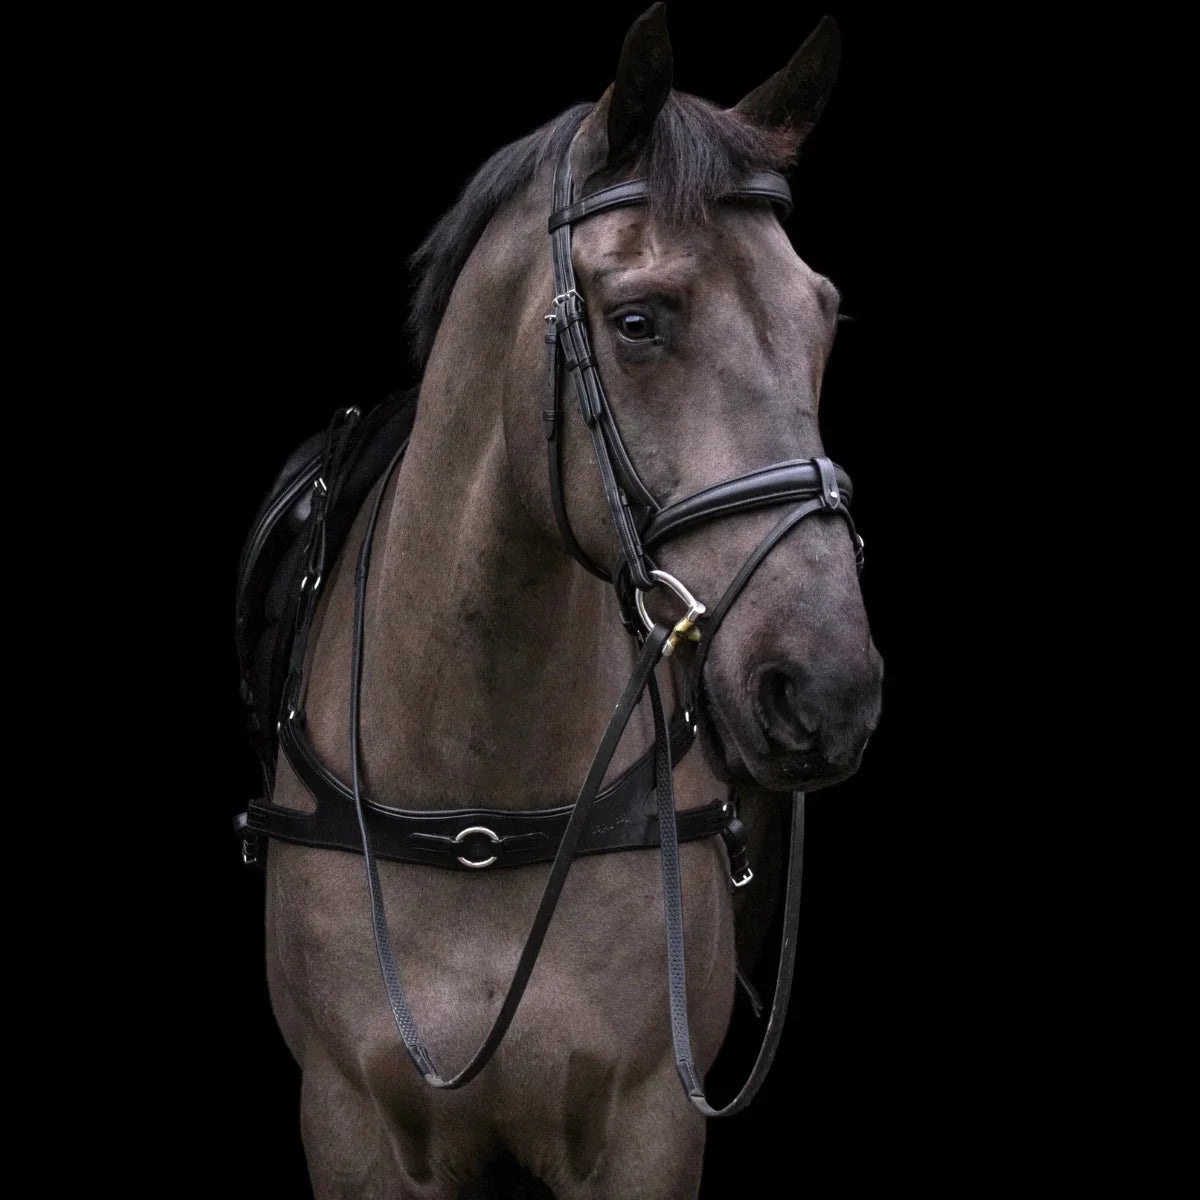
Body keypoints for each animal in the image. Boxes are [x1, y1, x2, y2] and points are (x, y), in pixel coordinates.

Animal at [253, 7, 883, 1196]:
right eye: (637, 322)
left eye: (823, 313)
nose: (825, 691)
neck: (476, 806)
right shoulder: (348, 1120)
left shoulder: (647, 1126)